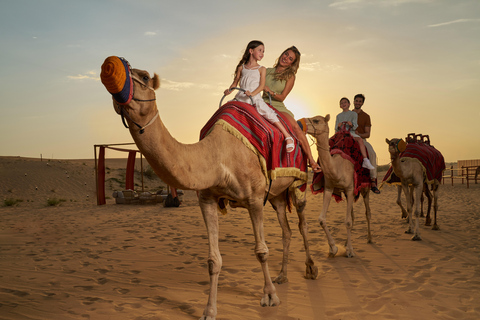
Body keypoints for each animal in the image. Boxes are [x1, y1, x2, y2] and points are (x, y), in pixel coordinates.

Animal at [99, 57, 316, 320]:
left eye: (143, 77)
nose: (111, 65)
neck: (218, 156)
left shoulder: (254, 199)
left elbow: (261, 251)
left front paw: (270, 297)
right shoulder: (208, 199)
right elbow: (214, 260)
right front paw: (209, 311)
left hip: (299, 181)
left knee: (302, 223)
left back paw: (311, 269)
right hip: (276, 194)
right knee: (286, 229)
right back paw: (283, 276)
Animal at [302, 114, 374, 258]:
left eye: (316, 120)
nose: (298, 121)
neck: (337, 168)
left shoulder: (351, 188)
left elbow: (347, 221)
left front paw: (350, 251)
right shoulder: (329, 188)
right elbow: (321, 219)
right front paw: (333, 248)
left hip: (365, 188)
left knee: (367, 212)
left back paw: (369, 239)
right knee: (352, 215)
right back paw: (346, 243)